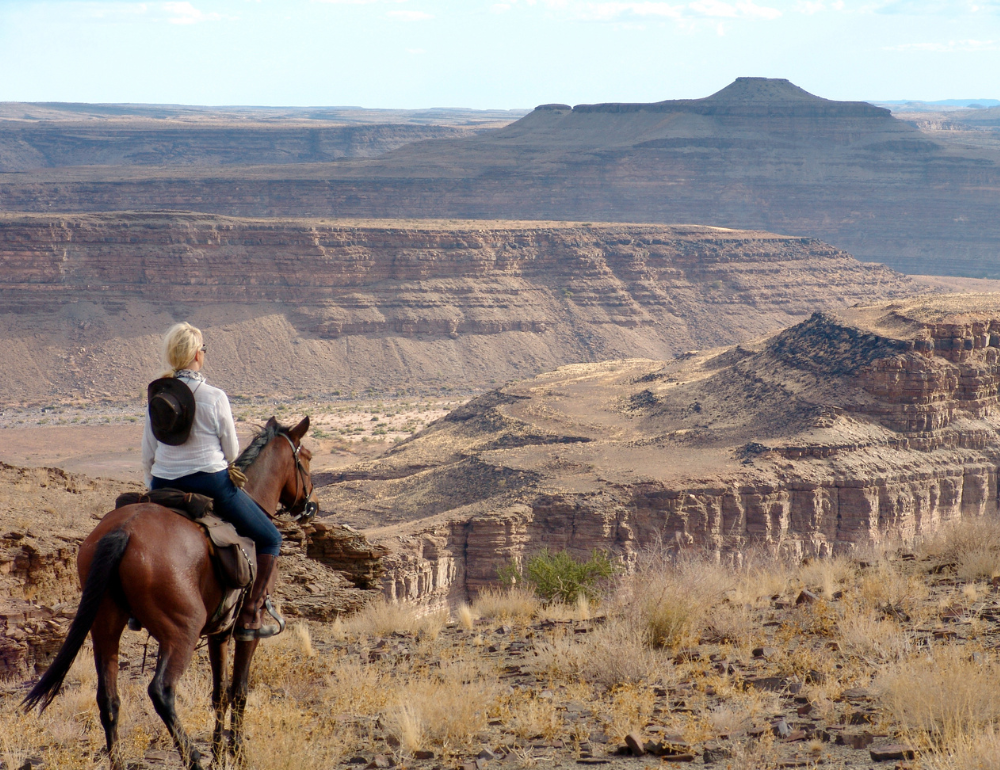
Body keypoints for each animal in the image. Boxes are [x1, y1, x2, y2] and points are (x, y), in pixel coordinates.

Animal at [22, 416, 316, 764]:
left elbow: (220, 693)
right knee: (160, 691)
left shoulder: (219, 632)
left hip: (105, 626)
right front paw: (237, 753)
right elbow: (240, 690)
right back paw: (192, 757)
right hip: (181, 630)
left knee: (108, 698)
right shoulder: (248, 627)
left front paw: (220, 754)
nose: (310, 505)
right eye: (307, 458)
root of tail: (124, 530)